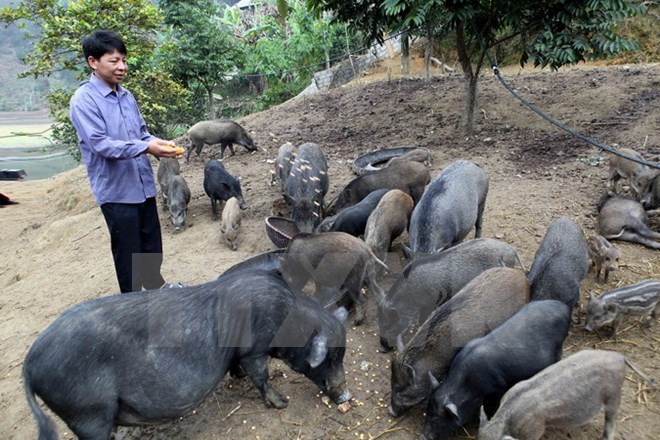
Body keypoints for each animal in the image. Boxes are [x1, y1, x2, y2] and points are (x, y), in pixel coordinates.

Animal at [21, 270, 350, 438]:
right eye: (329, 359)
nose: (346, 395)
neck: (286, 318)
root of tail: (30, 364)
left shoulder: (239, 354)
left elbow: (239, 369)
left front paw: (238, 378)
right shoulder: (254, 350)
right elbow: (262, 377)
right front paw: (282, 404)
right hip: (87, 412)